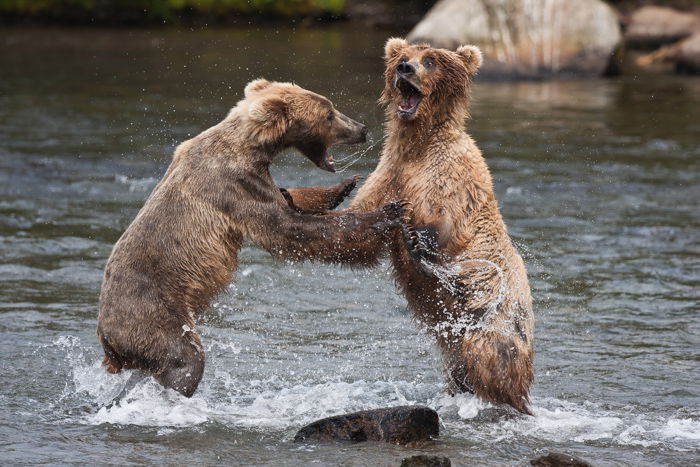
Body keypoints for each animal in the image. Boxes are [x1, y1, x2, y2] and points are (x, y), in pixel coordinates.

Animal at [95, 79, 408, 398]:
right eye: (329, 115)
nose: (362, 129)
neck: (251, 147)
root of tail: (108, 342)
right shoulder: (236, 184)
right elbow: (288, 229)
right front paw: (388, 212)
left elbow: (287, 199)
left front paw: (342, 187)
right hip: (154, 315)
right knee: (183, 360)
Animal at [286, 39, 536, 414]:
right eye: (403, 58)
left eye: (430, 60)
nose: (405, 68)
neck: (418, 145)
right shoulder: (390, 173)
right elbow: (357, 233)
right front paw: (318, 195)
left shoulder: (452, 178)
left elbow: (448, 224)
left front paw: (416, 240)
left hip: (496, 320)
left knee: (488, 358)